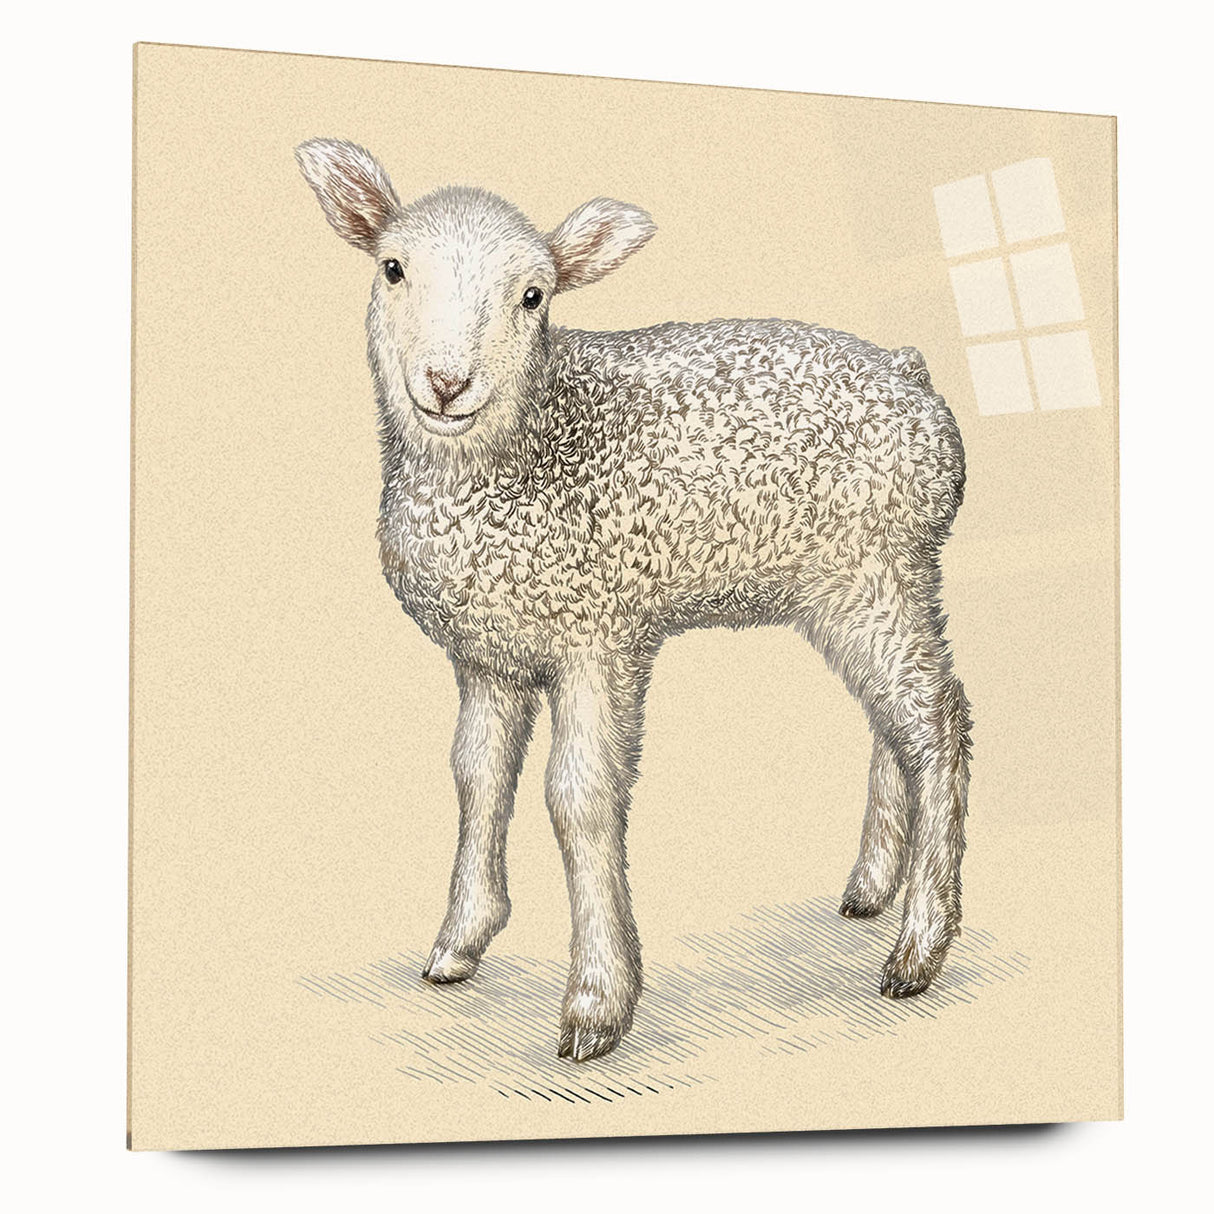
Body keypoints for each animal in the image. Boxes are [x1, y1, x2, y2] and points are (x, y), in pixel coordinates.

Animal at [296, 138, 972, 1063]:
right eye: (392, 268)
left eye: (535, 295)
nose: (446, 382)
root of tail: (913, 376)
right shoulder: (489, 654)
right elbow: (477, 777)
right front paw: (459, 942)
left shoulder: (600, 635)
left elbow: (579, 800)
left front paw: (596, 1004)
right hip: (864, 585)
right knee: (894, 720)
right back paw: (872, 887)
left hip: (876, 573)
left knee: (937, 722)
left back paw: (918, 947)